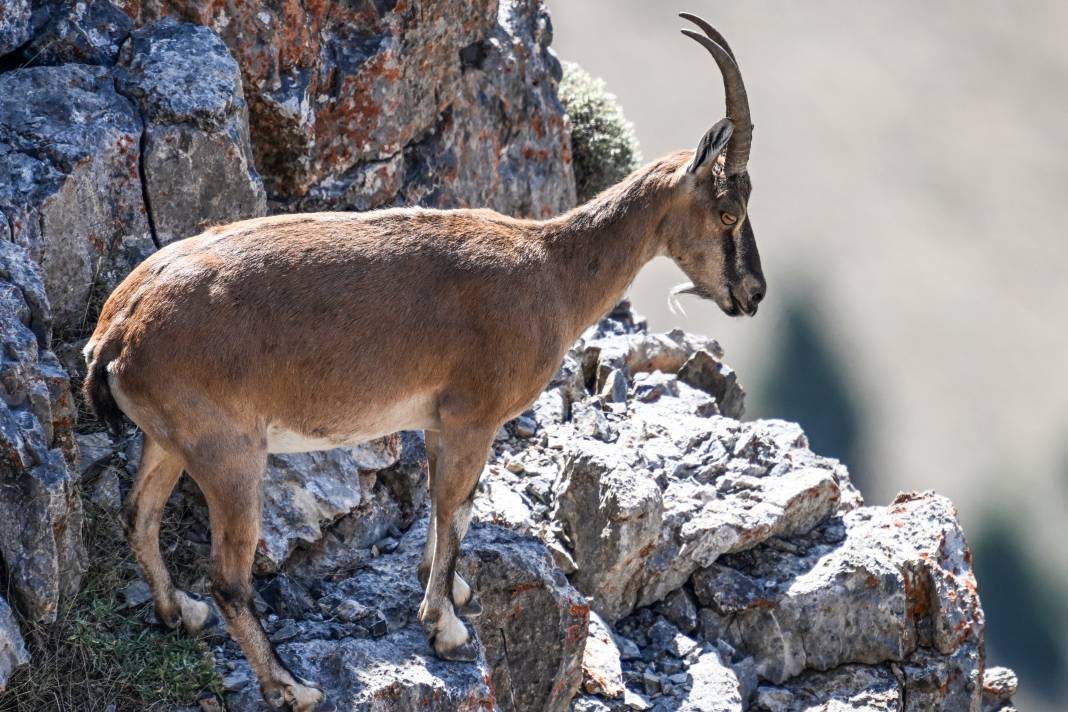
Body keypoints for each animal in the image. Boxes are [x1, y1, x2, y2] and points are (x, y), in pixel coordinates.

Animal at [85, 12, 768, 712]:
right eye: (728, 211)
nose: (753, 294)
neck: (550, 271)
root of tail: (118, 330)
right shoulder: (474, 418)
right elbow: (457, 507)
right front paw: (445, 629)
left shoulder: (441, 422)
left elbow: (448, 510)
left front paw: (451, 595)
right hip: (230, 453)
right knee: (228, 578)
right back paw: (290, 685)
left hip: (169, 441)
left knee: (139, 517)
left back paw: (180, 613)